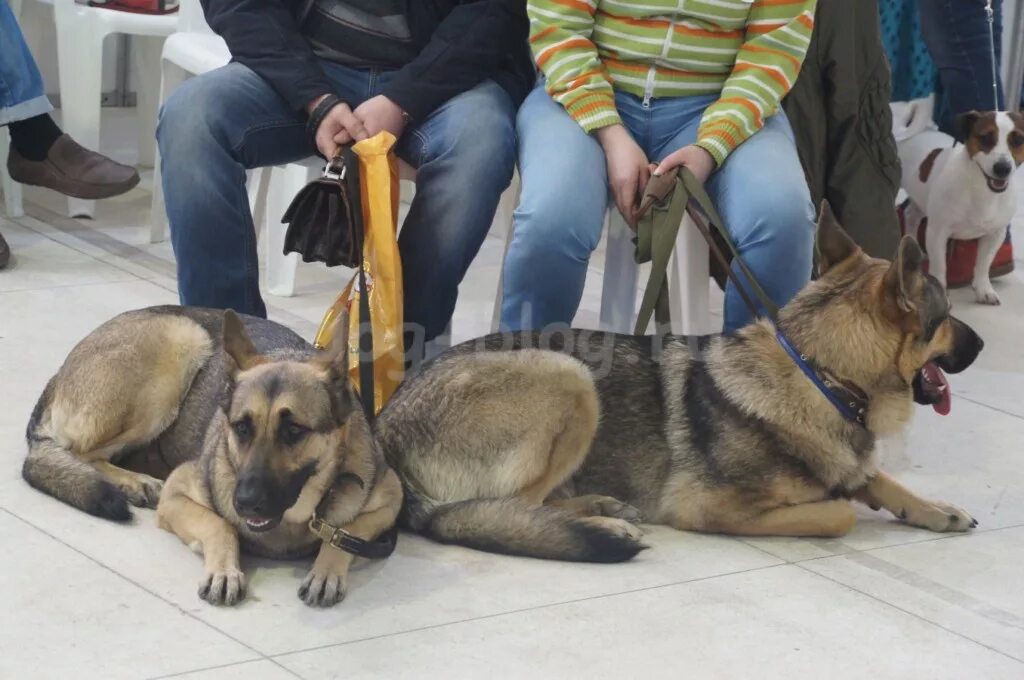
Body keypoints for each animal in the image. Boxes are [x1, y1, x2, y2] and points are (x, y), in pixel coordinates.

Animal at [22, 307, 399, 606]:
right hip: (180, 343)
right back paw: (134, 481)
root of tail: (57, 377)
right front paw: (225, 571)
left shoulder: (390, 499)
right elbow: (219, 524)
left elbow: (347, 531)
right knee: (78, 452)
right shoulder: (177, 494)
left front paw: (326, 572)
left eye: (294, 431)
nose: (244, 502)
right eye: (241, 427)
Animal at [374, 205, 983, 561]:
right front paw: (841, 500)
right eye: (947, 315)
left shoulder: (852, 460)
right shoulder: (708, 509)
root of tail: (385, 431)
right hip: (569, 379)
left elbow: (878, 478)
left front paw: (933, 507)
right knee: (506, 508)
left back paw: (605, 505)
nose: (980, 345)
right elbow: (838, 512)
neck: (820, 373)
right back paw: (603, 521)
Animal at [901, 109, 1019, 305]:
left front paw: (984, 289)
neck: (981, 191)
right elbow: (940, 267)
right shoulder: (937, 233)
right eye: (986, 138)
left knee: (911, 215)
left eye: (1018, 140)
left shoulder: (995, 235)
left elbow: (983, 265)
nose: (1003, 168)